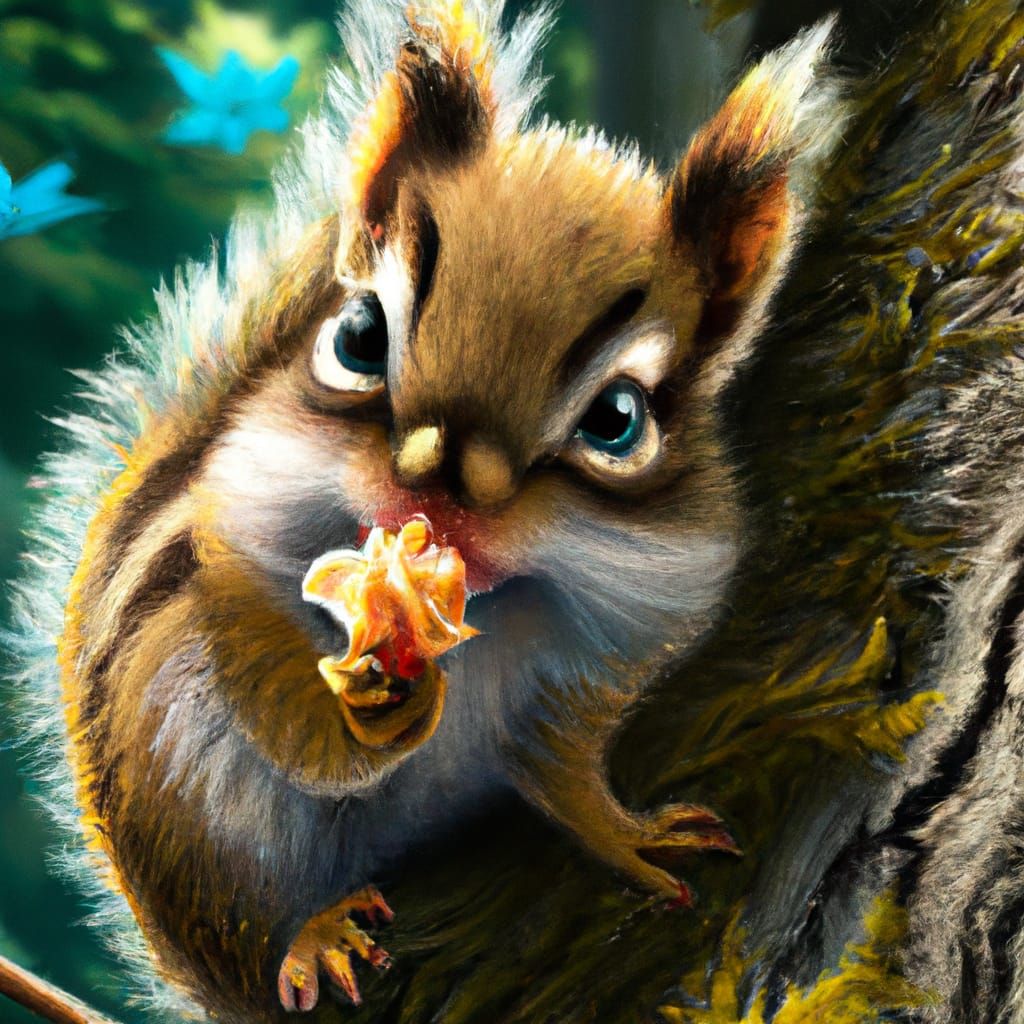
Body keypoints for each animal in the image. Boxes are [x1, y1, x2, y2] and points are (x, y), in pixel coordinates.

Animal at [15, 1, 844, 1020]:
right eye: (358, 335)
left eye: (619, 420)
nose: (437, 488)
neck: (491, 612)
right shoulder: (228, 557)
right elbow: (274, 692)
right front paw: (368, 715)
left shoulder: (609, 654)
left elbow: (565, 764)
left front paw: (628, 833)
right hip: (187, 801)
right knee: (251, 912)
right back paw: (309, 933)